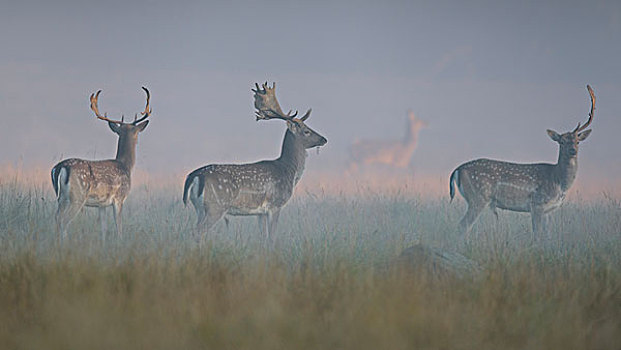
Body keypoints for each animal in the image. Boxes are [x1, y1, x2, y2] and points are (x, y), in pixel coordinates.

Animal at [50, 87, 151, 241]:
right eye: (137, 133)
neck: (126, 166)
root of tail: (60, 167)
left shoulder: (101, 204)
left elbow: (103, 228)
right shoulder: (119, 198)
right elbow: (119, 227)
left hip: (61, 198)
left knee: (56, 218)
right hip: (77, 197)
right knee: (64, 220)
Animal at [182, 82, 326, 242]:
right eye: (307, 131)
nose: (324, 139)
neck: (288, 171)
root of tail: (194, 176)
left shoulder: (260, 212)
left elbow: (263, 237)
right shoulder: (275, 205)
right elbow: (271, 237)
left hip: (200, 208)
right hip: (216, 206)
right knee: (198, 231)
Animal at [450, 86, 596, 237]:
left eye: (577, 141)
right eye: (561, 142)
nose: (573, 150)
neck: (559, 181)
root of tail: (457, 170)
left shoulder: (548, 210)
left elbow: (547, 235)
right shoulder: (537, 204)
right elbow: (537, 235)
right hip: (478, 197)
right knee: (463, 225)